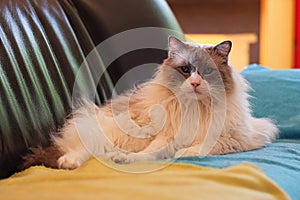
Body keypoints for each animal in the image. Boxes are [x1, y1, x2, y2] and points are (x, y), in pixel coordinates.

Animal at [21, 35, 278, 170]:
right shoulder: (166, 136)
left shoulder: (236, 138)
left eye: (206, 72)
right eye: (186, 70)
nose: (195, 83)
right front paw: (130, 158)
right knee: (84, 147)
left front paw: (183, 153)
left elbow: (198, 147)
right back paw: (69, 162)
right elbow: (151, 152)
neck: (196, 108)